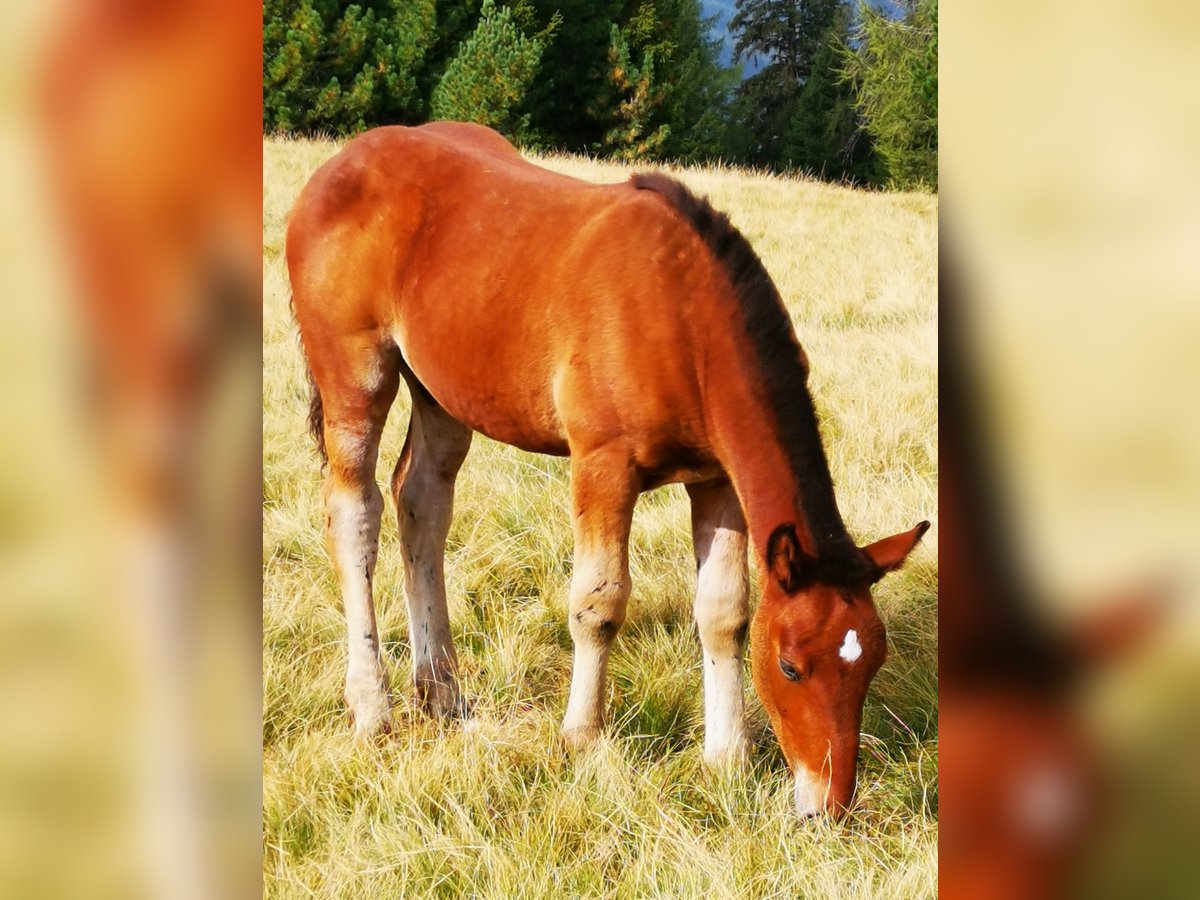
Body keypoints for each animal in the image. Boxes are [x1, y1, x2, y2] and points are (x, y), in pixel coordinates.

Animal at [288, 123, 926, 820]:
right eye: (789, 667)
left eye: (872, 663)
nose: (828, 805)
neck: (682, 315)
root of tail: (338, 166)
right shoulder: (603, 464)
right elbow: (599, 603)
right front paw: (583, 740)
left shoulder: (717, 480)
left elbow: (724, 611)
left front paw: (725, 759)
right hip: (355, 375)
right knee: (356, 514)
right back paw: (372, 706)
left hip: (442, 393)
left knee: (420, 504)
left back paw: (442, 693)